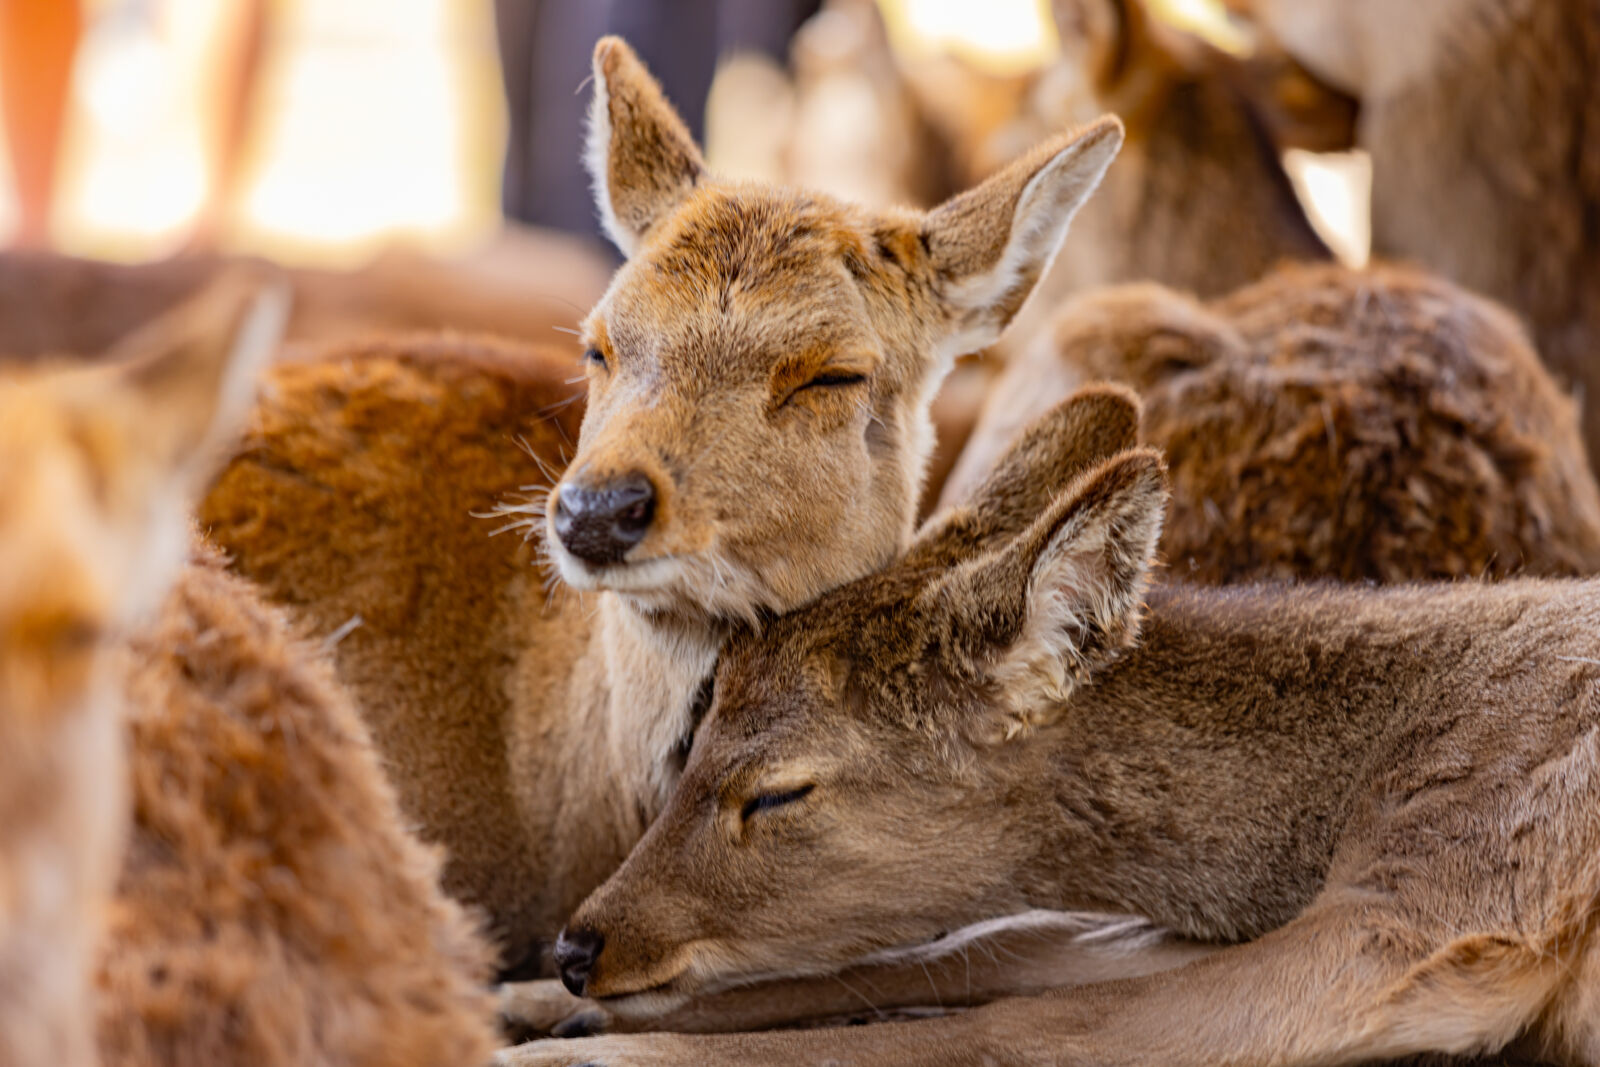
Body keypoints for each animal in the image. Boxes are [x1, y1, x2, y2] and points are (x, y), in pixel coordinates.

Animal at [505, 391, 1600, 1067]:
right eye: (694, 735)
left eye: (778, 790)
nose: (579, 946)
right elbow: (1001, 943)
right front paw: (530, 1003)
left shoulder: (1439, 898)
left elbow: (1022, 1019)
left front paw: (578, 1046)